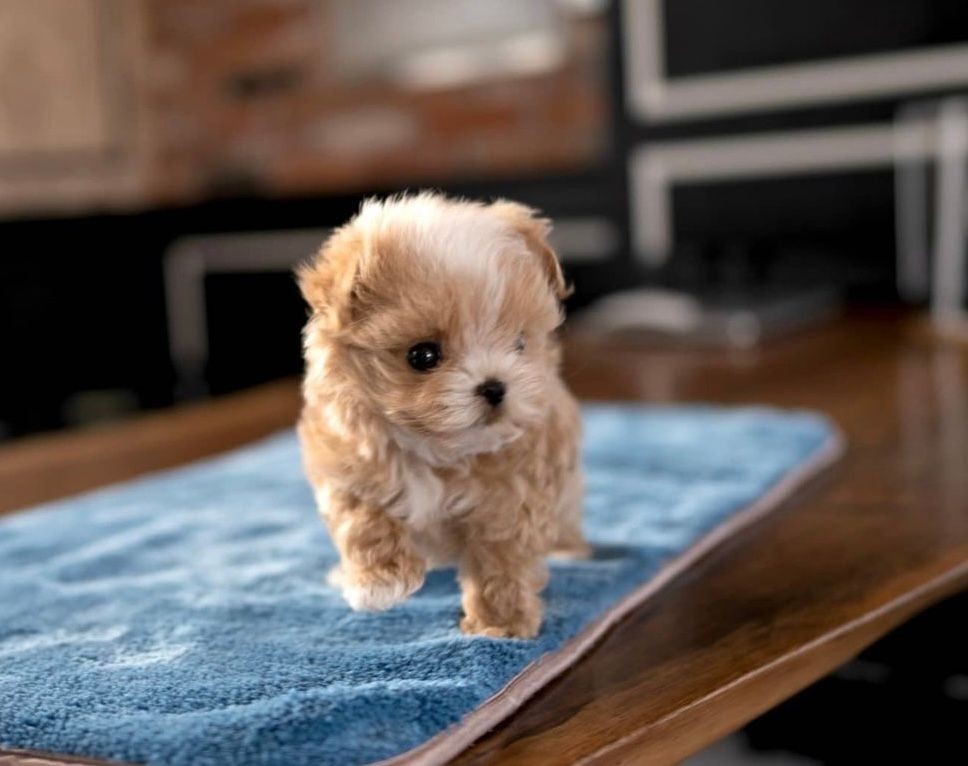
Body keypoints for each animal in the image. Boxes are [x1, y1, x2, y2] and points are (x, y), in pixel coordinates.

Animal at [294, 194, 588, 640]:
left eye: (519, 344)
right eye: (423, 356)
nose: (495, 387)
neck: (435, 451)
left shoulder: (514, 494)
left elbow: (500, 561)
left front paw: (500, 624)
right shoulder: (347, 464)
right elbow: (364, 521)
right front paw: (379, 584)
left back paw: (570, 550)